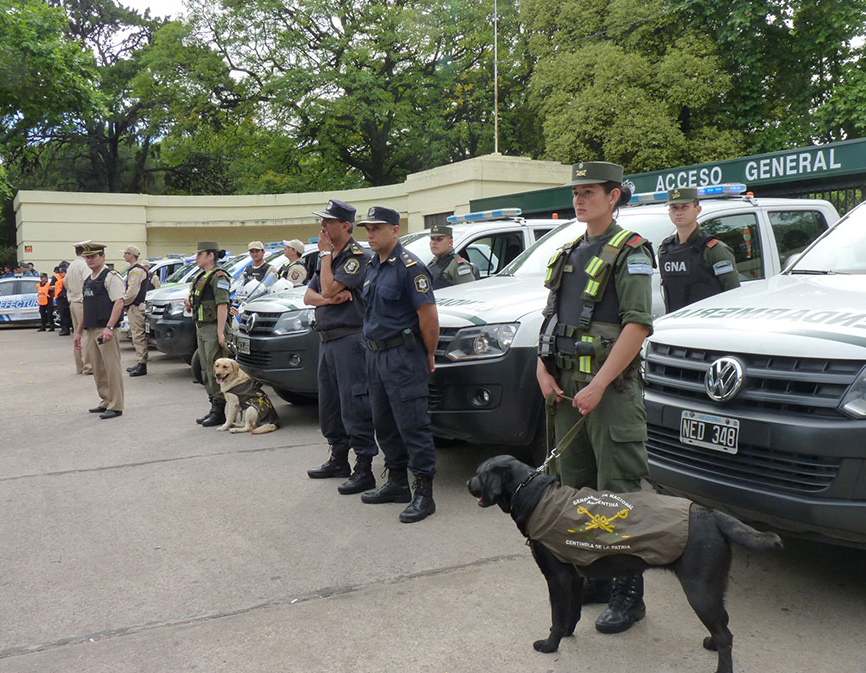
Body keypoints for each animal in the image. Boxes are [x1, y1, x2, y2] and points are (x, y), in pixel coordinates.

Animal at [470, 452, 780, 672]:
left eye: (479, 474)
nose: (466, 483)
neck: (534, 496)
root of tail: (713, 514)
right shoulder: (574, 577)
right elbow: (572, 612)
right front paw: (568, 634)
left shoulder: (557, 578)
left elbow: (557, 616)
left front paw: (550, 645)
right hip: (713, 586)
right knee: (724, 623)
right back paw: (712, 643)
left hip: (699, 590)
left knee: (726, 635)